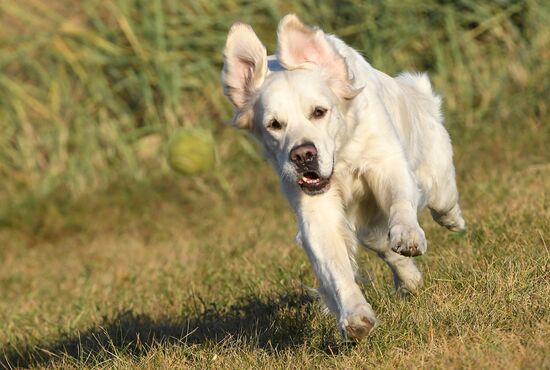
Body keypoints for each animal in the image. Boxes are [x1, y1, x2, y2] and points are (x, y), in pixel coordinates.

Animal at [220, 14, 466, 342]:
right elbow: (336, 268)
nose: (303, 155)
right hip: (369, 229)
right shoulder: (316, 208)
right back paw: (409, 282)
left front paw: (408, 235)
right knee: (385, 249)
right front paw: (355, 317)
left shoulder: (386, 162)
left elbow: (400, 202)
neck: (342, 155)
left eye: (319, 111)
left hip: (435, 179)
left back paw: (453, 222)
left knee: (443, 202)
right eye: (274, 124)